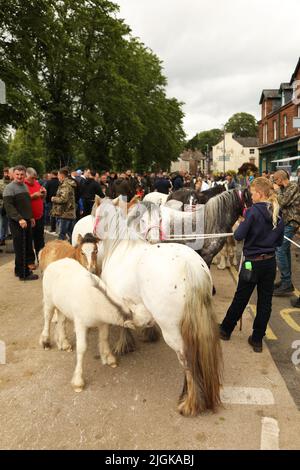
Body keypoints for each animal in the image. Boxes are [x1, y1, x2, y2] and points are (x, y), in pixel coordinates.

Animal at [39, 258, 135, 392]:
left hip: (62, 306)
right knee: (47, 319)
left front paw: (109, 359)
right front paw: (78, 382)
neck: (95, 300)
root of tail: (54, 263)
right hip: (49, 301)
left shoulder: (103, 324)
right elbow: (82, 348)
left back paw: (64, 343)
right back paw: (46, 342)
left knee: (61, 321)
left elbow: (104, 339)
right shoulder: (80, 325)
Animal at [94, 198, 223, 414]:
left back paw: (190, 403)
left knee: (187, 360)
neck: (122, 247)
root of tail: (190, 266)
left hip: (174, 332)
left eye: (95, 214)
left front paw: (124, 344)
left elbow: (123, 323)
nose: (92, 234)